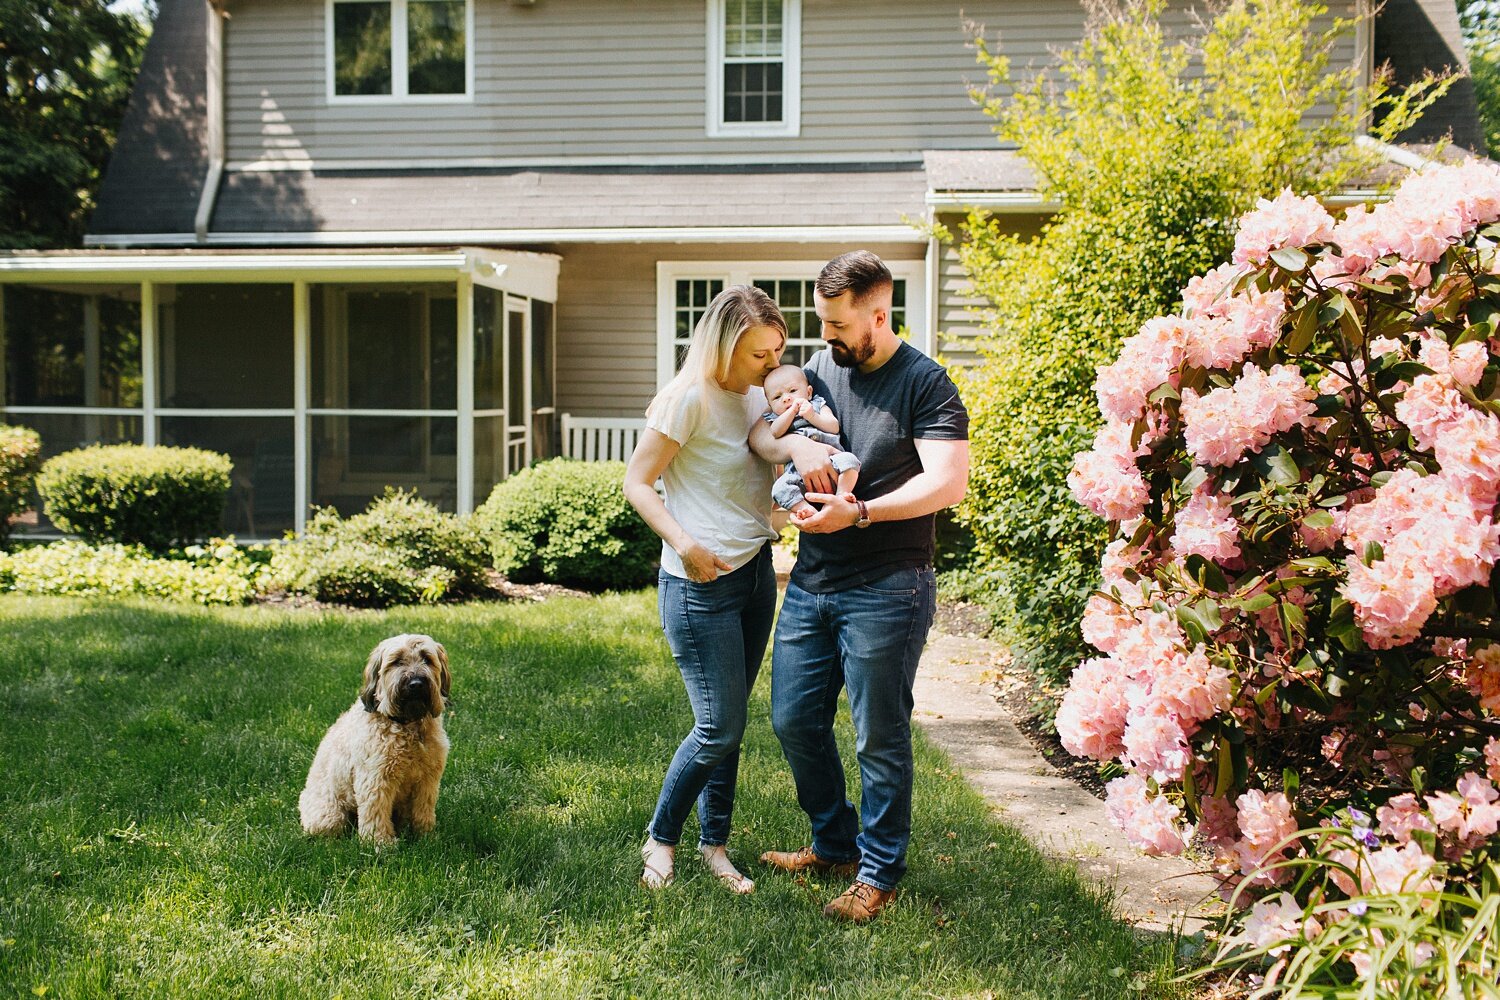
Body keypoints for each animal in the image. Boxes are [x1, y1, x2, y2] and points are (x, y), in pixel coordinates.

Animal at [297, 632, 447, 845]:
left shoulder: (427, 780)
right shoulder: (376, 779)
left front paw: (426, 837)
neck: (407, 723)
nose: (416, 684)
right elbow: (376, 815)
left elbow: (423, 811)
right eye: (397, 661)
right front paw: (380, 843)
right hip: (329, 816)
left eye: (427, 658)